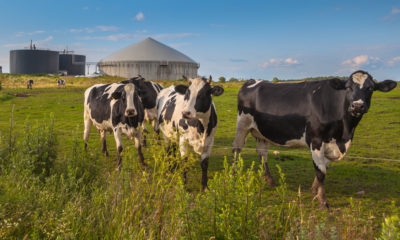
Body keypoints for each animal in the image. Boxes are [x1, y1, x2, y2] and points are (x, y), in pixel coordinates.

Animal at [233, 70, 396, 207]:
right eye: (348, 87)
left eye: (370, 88)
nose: (357, 106)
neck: (344, 134)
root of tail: (253, 81)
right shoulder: (316, 140)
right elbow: (321, 171)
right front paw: (322, 201)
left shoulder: (331, 145)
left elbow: (324, 167)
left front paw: (314, 190)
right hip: (242, 125)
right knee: (237, 149)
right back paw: (233, 174)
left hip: (262, 132)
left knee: (262, 154)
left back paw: (270, 181)